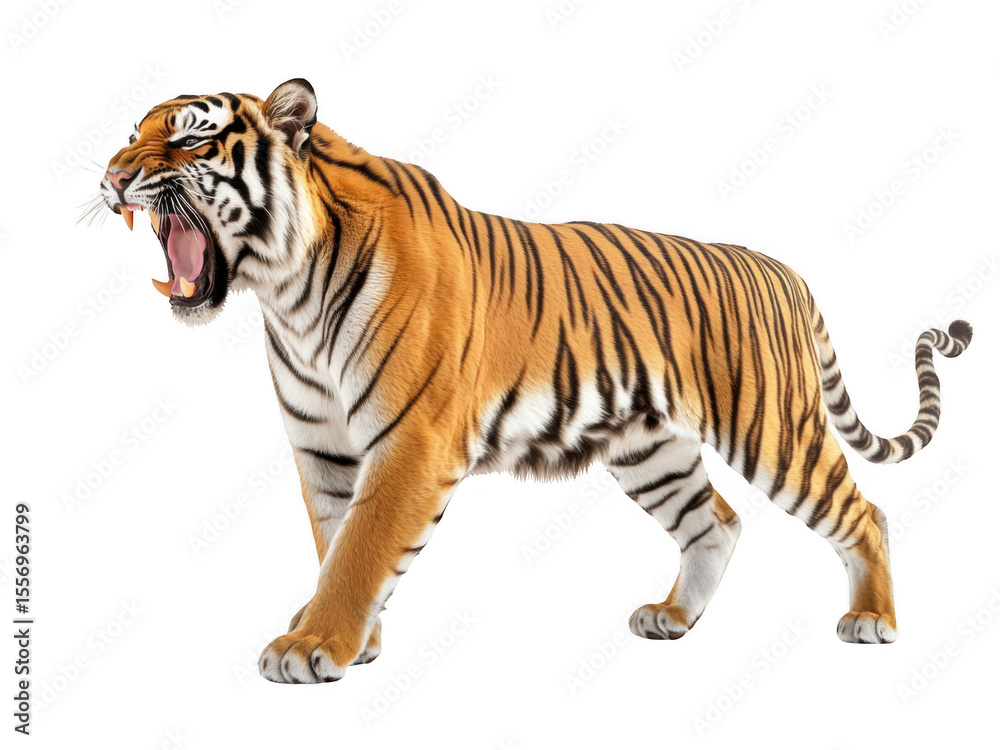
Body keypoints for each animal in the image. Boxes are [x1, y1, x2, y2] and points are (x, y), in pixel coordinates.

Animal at [98, 78, 972, 683]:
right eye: (129, 135)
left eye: (188, 144)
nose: (108, 179)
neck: (289, 294)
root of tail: (782, 270)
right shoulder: (324, 448)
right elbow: (334, 542)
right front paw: (354, 641)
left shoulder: (409, 444)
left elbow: (360, 550)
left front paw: (313, 645)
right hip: (650, 450)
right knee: (715, 522)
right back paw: (674, 617)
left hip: (773, 430)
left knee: (862, 511)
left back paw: (871, 620)